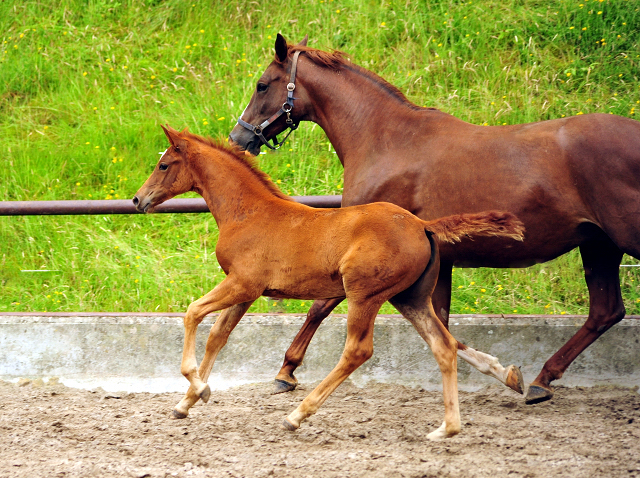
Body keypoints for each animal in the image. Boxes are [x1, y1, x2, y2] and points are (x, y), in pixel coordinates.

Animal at [132, 127, 524, 440]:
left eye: (163, 165)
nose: (138, 199)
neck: (248, 213)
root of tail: (423, 225)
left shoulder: (243, 283)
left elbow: (193, 313)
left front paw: (197, 385)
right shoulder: (245, 291)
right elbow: (218, 335)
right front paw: (188, 402)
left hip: (364, 295)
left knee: (357, 351)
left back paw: (296, 416)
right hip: (408, 298)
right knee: (443, 346)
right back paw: (447, 428)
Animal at [229, 33, 640, 404]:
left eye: (262, 84)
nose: (238, 138)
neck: (387, 141)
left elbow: (321, 305)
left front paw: (286, 371)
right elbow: (439, 322)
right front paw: (504, 374)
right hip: (598, 245)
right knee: (605, 311)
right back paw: (541, 381)